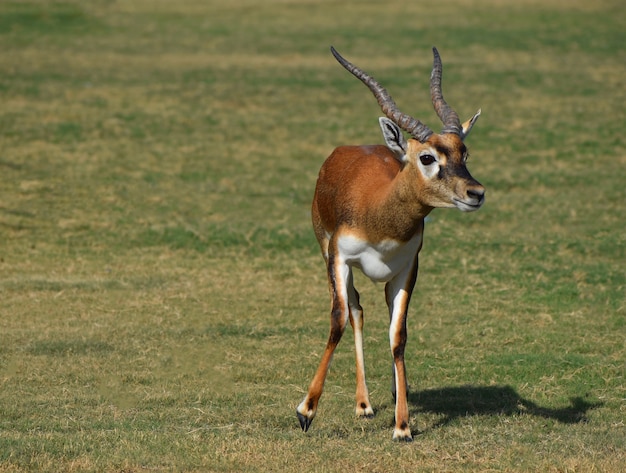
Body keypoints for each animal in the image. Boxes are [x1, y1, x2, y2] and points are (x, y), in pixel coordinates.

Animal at [294, 46, 486, 440]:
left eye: (465, 153)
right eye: (427, 157)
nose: (476, 193)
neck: (379, 215)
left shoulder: (407, 268)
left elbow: (398, 335)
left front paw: (402, 425)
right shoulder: (338, 258)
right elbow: (338, 319)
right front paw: (306, 411)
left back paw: (394, 395)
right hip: (327, 253)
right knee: (355, 311)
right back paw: (363, 405)